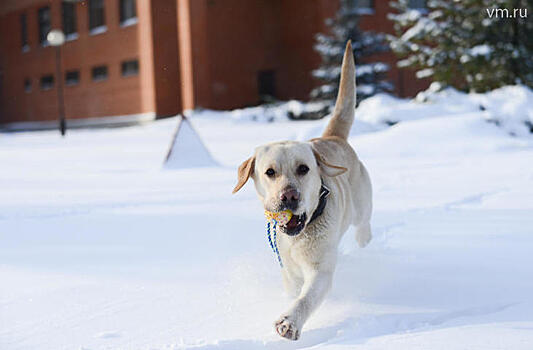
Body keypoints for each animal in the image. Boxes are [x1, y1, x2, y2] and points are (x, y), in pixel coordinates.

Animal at [231, 40, 372, 340]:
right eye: (270, 172)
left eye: (304, 169)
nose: (289, 196)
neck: (299, 237)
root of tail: (332, 137)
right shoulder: (289, 271)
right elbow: (294, 292)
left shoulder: (320, 271)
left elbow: (305, 299)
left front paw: (289, 322)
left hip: (362, 203)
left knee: (363, 223)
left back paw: (364, 241)